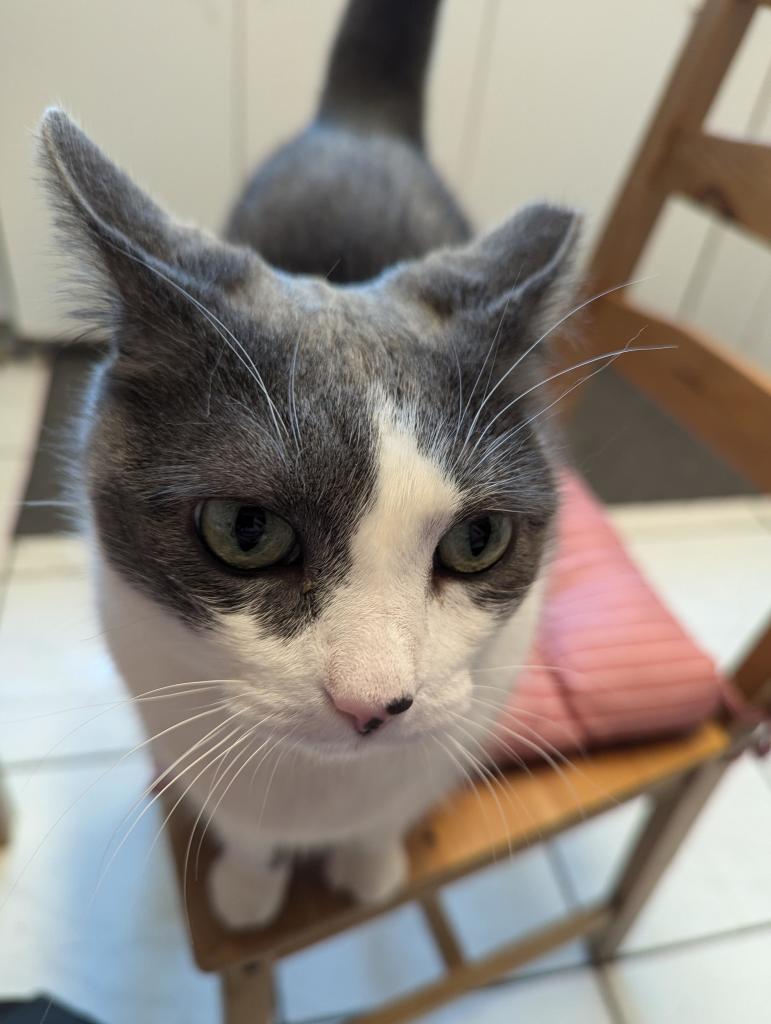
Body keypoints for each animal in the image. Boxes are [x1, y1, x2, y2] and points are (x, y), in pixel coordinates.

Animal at [37, 0, 577, 929]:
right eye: (246, 530)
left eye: (477, 541)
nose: (374, 704)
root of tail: (356, 122)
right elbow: (244, 825)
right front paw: (249, 888)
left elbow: (389, 810)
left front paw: (369, 864)